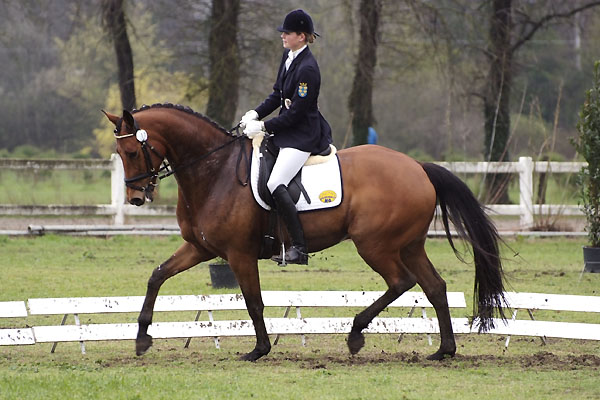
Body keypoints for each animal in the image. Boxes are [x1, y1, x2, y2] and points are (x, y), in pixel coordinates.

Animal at [104, 104, 506, 362]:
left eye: (132, 151)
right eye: (120, 153)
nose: (136, 198)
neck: (214, 171)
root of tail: (419, 168)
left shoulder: (238, 254)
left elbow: (253, 302)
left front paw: (259, 350)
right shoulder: (200, 248)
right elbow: (157, 276)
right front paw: (141, 339)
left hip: (375, 245)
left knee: (401, 282)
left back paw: (356, 334)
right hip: (409, 245)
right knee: (435, 287)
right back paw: (443, 350)